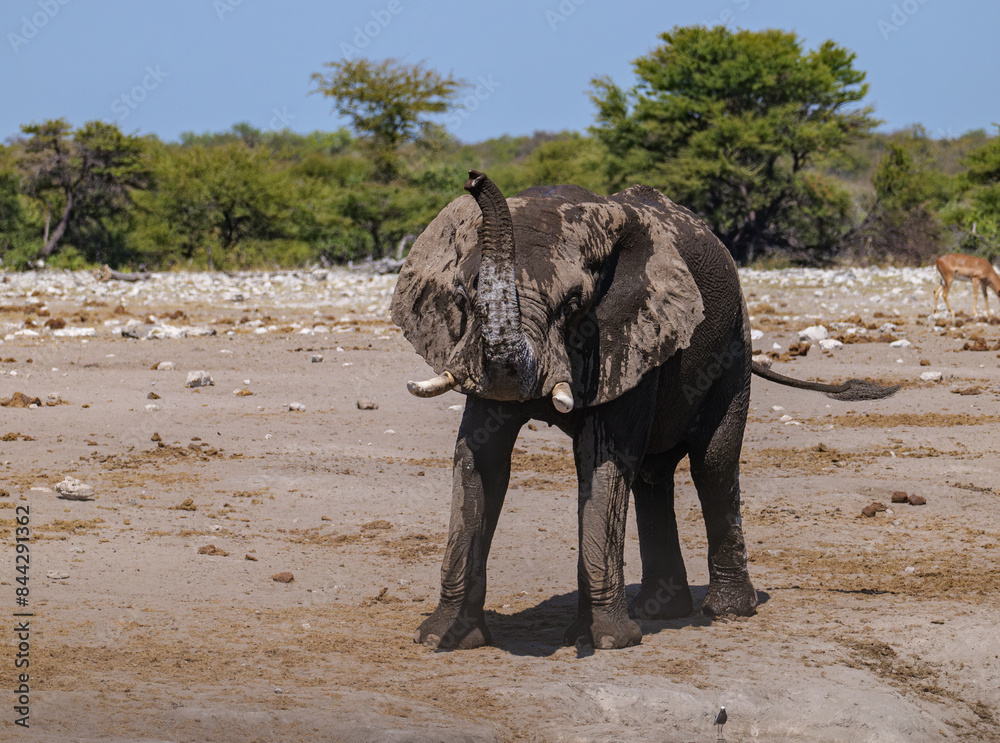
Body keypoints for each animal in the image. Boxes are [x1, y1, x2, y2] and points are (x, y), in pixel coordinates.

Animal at [390, 171, 898, 650]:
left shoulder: (631, 333)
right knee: (653, 478)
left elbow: (600, 459)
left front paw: (606, 642)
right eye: (463, 295)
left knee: (713, 465)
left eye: (573, 304)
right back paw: (658, 611)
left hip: (734, 345)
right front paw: (441, 639)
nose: (474, 179)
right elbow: (481, 458)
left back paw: (727, 611)